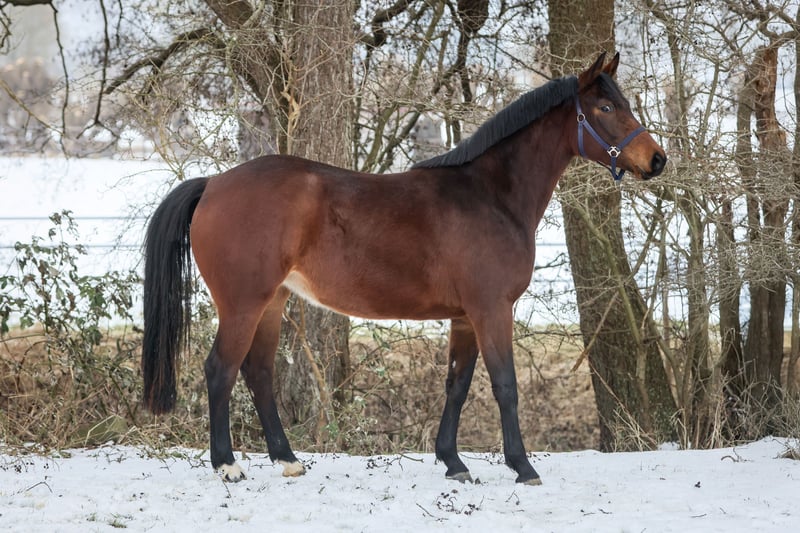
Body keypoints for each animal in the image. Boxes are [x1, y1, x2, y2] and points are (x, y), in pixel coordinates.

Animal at [142, 52, 666, 486]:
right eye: (605, 108)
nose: (657, 159)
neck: (490, 196)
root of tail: (214, 184)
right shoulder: (492, 309)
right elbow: (505, 385)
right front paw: (522, 466)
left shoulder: (464, 317)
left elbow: (457, 385)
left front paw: (453, 462)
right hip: (243, 303)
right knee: (220, 370)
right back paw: (227, 465)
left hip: (273, 301)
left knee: (258, 372)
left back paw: (287, 459)